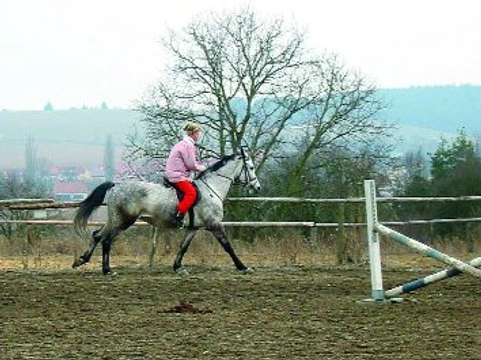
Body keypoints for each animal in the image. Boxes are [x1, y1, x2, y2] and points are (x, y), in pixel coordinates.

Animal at [71, 148, 260, 276]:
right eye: (250, 167)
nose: (257, 187)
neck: (211, 189)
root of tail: (116, 185)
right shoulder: (214, 224)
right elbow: (228, 246)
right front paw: (243, 267)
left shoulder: (193, 228)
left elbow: (183, 247)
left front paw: (178, 268)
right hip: (124, 221)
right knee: (107, 240)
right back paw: (107, 270)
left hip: (115, 219)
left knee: (97, 235)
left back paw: (82, 260)